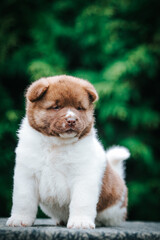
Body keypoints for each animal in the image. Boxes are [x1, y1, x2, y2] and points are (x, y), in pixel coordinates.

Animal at [6, 75, 130, 229]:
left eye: (79, 108)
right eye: (56, 107)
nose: (71, 120)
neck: (56, 144)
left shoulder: (83, 176)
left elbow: (81, 201)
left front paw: (80, 222)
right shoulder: (26, 174)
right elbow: (23, 199)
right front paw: (19, 219)